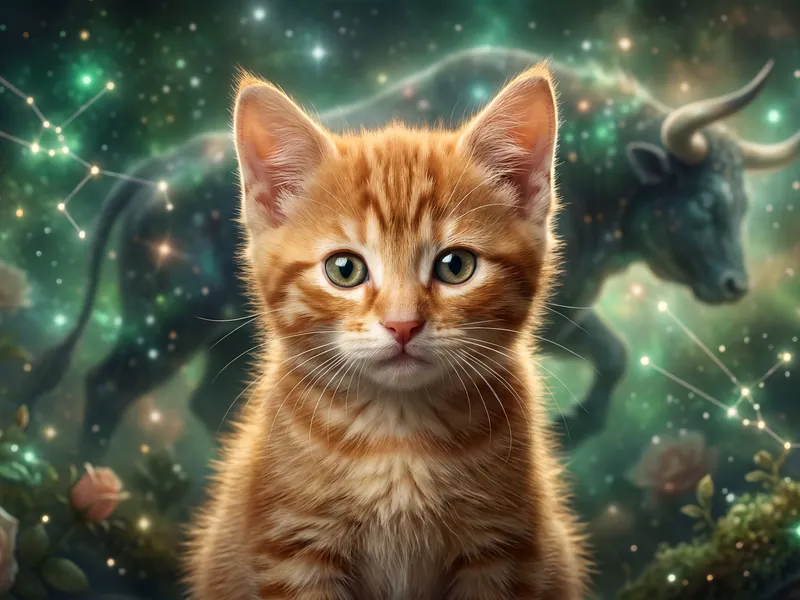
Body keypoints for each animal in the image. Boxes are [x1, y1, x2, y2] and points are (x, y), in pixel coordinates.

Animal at [20, 47, 800, 460]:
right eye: (705, 201)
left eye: (742, 202)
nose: (734, 283)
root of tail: (153, 175)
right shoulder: (557, 317)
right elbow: (613, 356)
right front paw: (568, 429)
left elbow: (614, 358)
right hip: (165, 328)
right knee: (108, 385)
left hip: (225, 341)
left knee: (210, 402)